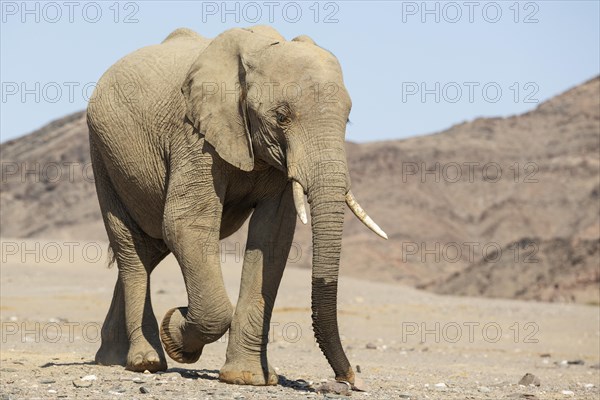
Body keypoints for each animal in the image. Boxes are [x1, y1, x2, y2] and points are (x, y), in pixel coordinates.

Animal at [88, 25, 390, 388]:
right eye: (282, 117)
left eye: (347, 120)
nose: (347, 379)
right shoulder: (194, 134)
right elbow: (186, 224)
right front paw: (176, 334)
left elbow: (273, 238)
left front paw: (247, 378)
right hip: (102, 152)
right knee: (131, 246)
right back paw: (144, 361)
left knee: (149, 248)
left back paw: (111, 359)